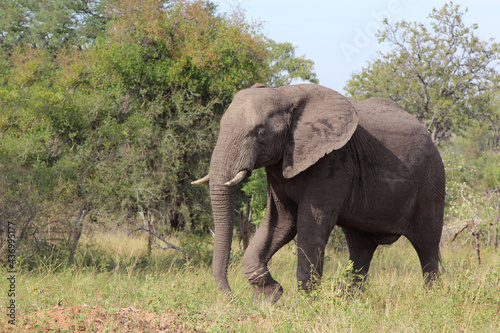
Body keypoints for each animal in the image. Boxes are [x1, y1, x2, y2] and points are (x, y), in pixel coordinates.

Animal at [191, 83, 446, 304]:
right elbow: (281, 223)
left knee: (427, 245)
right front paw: (268, 299)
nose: (233, 298)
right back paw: (351, 302)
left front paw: (303, 307)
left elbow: (310, 224)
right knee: (361, 248)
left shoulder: (334, 160)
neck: (284, 94)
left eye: (261, 133)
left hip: (432, 179)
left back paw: (431, 301)